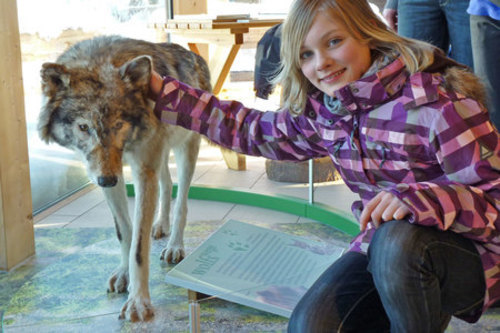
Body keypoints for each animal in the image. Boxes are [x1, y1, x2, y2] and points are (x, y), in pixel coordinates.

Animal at [38, 35, 210, 320]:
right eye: (83, 127)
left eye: (118, 124)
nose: (107, 181)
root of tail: (191, 53)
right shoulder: (113, 172)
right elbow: (125, 233)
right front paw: (123, 274)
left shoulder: (142, 170)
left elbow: (139, 247)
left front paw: (138, 301)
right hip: (159, 156)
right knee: (167, 184)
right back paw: (160, 225)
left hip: (185, 149)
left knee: (182, 202)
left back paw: (174, 245)